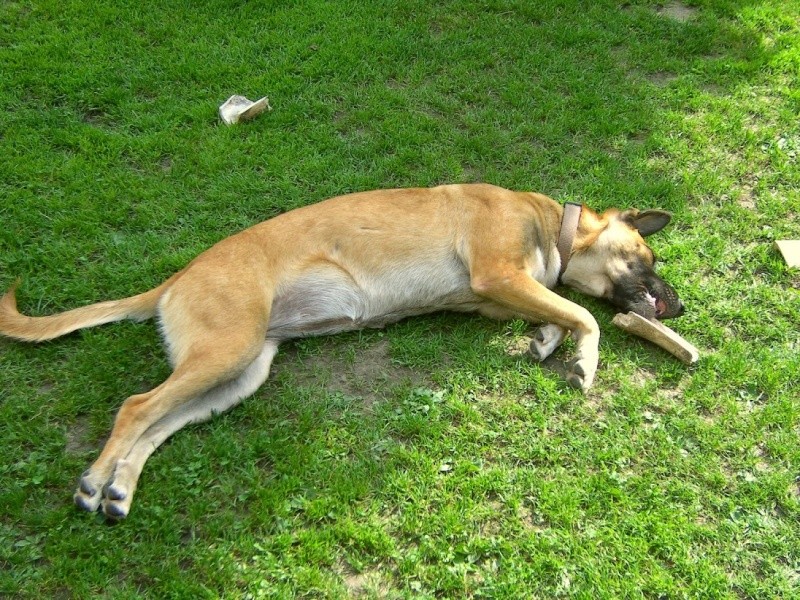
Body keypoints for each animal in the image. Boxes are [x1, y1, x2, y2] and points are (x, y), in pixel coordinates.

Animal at [3, 183, 684, 516]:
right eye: (647, 257)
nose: (677, 310)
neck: (552, 224)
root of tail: (174, 279)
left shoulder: (502, 293)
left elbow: (556, 312)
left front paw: (546, 340)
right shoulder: (498, 276)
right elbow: (581, 314)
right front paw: (584, 359)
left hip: (237, 375)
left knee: (153, 424)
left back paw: (119, 488)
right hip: (227, 350)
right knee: (135, 407)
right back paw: (96, 480)